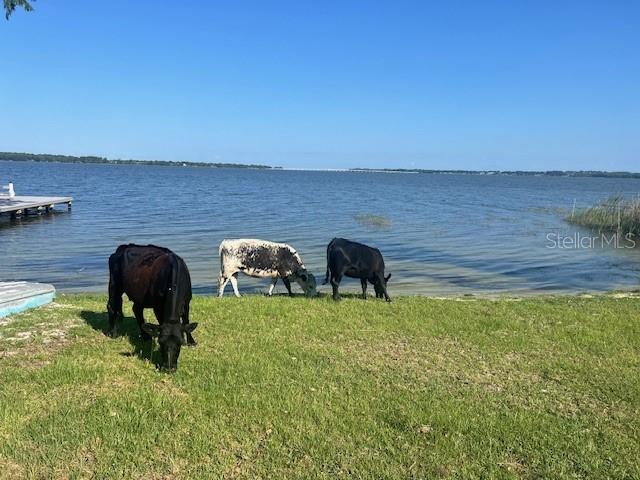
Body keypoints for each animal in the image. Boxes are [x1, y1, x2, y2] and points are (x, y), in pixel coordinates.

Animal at [107, 244, 197, 372]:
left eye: (180, 343)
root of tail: (124, 247)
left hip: (139, 295)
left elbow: (186, 321)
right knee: (112, 306)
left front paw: (191, 342)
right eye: (161, 342)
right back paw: (113, 333)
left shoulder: (187, 301)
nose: (168, 368)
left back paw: (146, 336)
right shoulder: (158, 306)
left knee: (136, 309)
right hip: (114, 284)